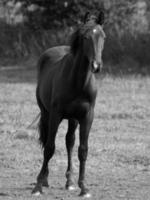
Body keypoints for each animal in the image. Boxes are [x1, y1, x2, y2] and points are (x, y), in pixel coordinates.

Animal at [31, 10, 105, 197]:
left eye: (103, 36)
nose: (96, 66)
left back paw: (69, 181)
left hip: (73, 119)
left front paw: (83, 187)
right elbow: (50, 147)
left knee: (69, 142)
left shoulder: (87, 116)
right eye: (85, 37)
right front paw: (38, 186)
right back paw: (44, 179)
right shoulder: (55, 115)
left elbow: (82, 149)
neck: (77, 82)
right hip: (46, 114)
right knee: (48, 141)